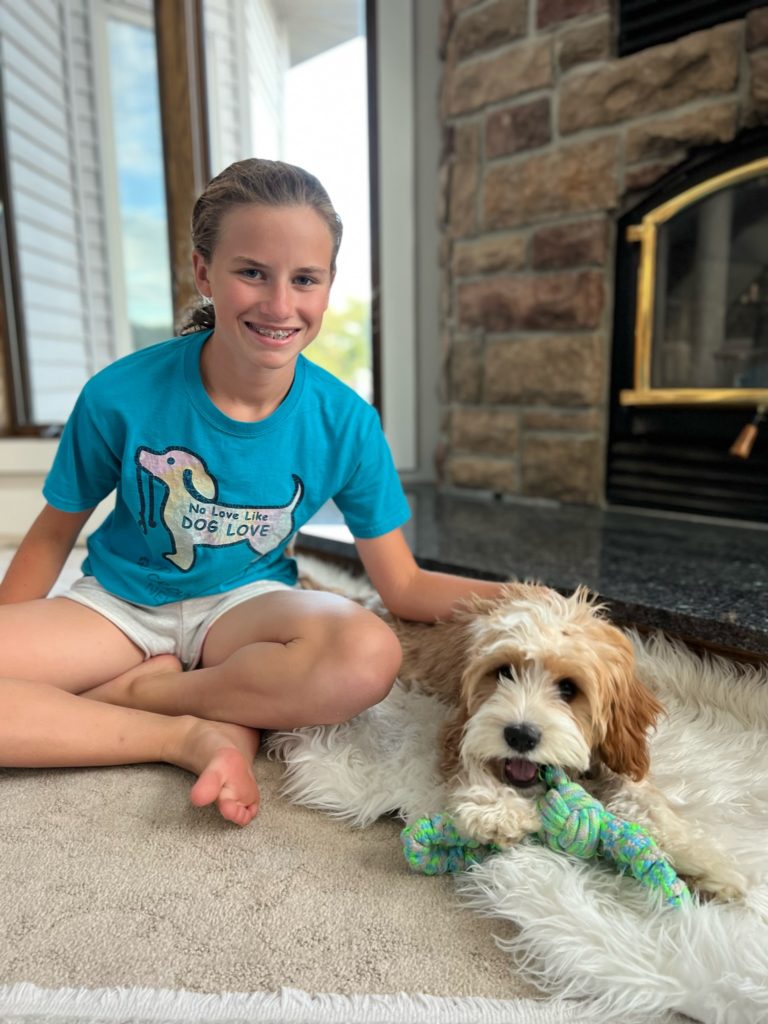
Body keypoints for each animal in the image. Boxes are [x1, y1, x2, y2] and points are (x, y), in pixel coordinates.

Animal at [384, 582, 747, 900]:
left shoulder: (618, 752)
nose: (520, 735)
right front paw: (498, 811)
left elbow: (645, 801)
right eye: (504, 672)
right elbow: (470, 761)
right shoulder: (460, 727)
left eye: (569, 688)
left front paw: (703, 861)